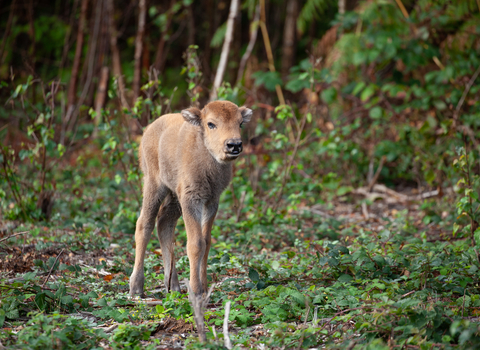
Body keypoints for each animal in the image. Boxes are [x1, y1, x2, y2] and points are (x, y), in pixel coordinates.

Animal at [129, 100, 253, 296]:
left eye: (240, 123)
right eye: (211, 124)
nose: (234, 145)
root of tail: (149, 129)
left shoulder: (212, 201)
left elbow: (206, 242)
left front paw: (204, 287)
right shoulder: (191, 200)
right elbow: (195, 244)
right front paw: (195, 290)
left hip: (174, 197)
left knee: (164, 223)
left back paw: (173, 285)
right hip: (153, 185)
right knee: (144, 224)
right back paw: (136, 287)